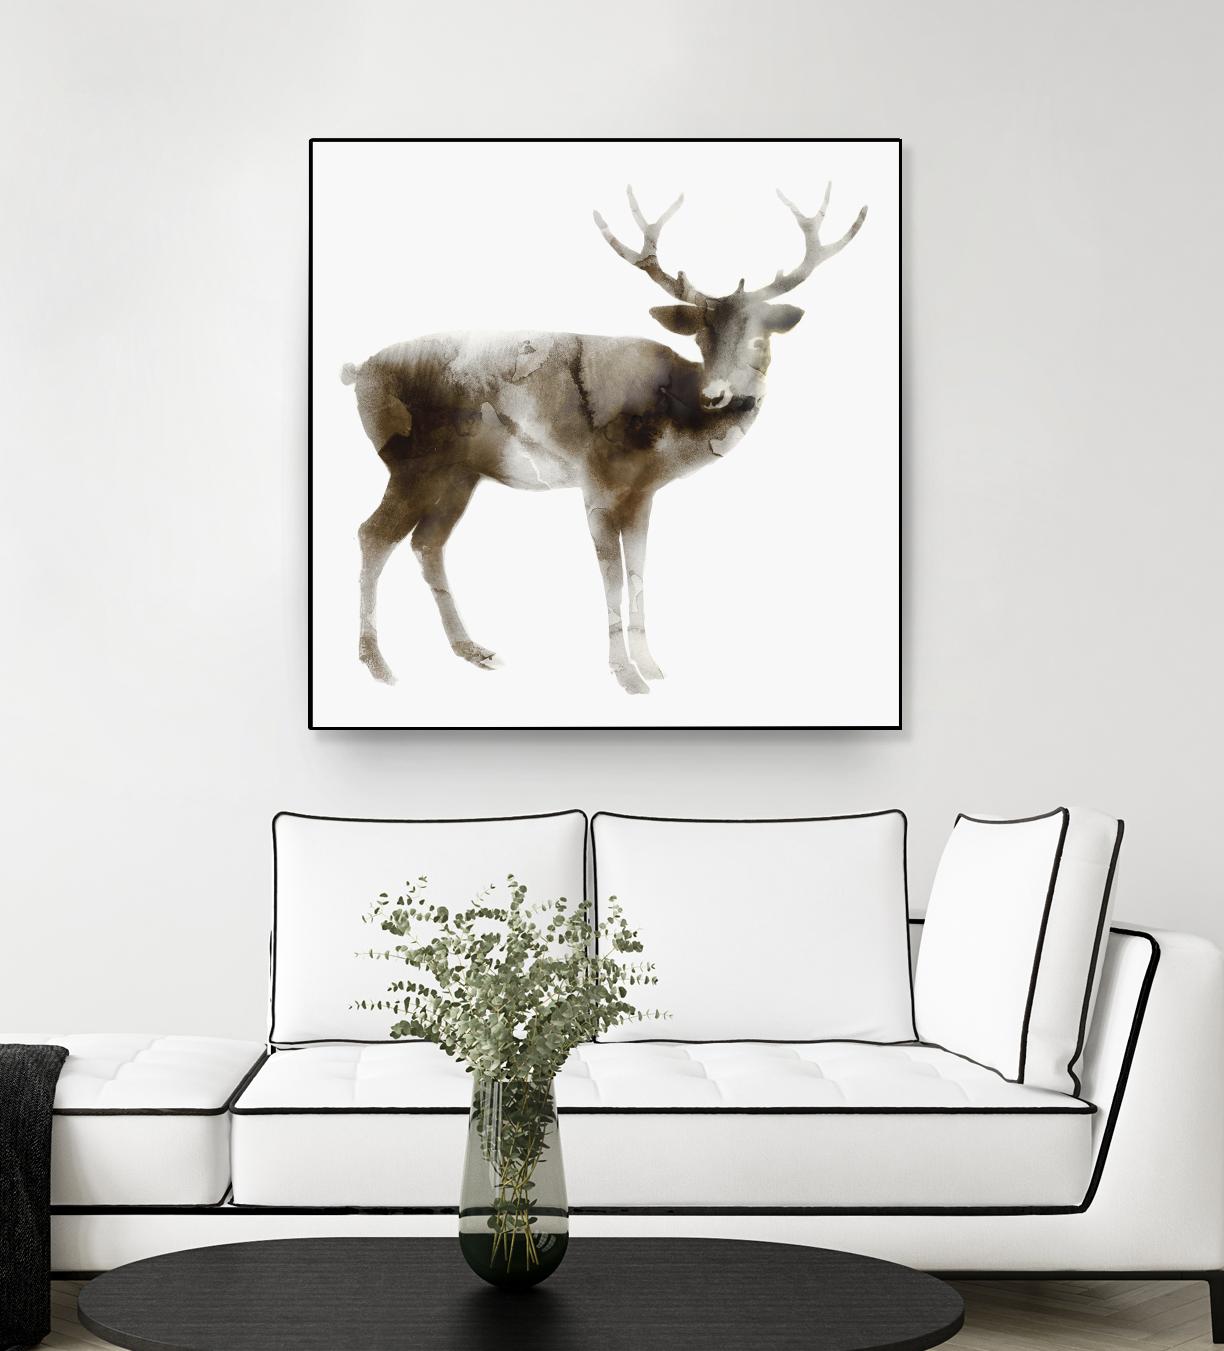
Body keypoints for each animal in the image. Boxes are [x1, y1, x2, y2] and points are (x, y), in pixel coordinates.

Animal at [341, 183, 867, 695]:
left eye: (760, 338)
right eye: (700, 337)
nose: (717, 394)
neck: (669, 430)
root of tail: (358, 372)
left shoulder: (643, 494)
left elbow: (638, 572)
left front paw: (651, 665)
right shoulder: (596, 482)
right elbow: (611, 576)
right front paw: (626, 675)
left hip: (459, 475)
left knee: (427, 543)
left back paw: (472, 649)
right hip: (412, 463)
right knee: (373, 534)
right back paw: (378, 664)